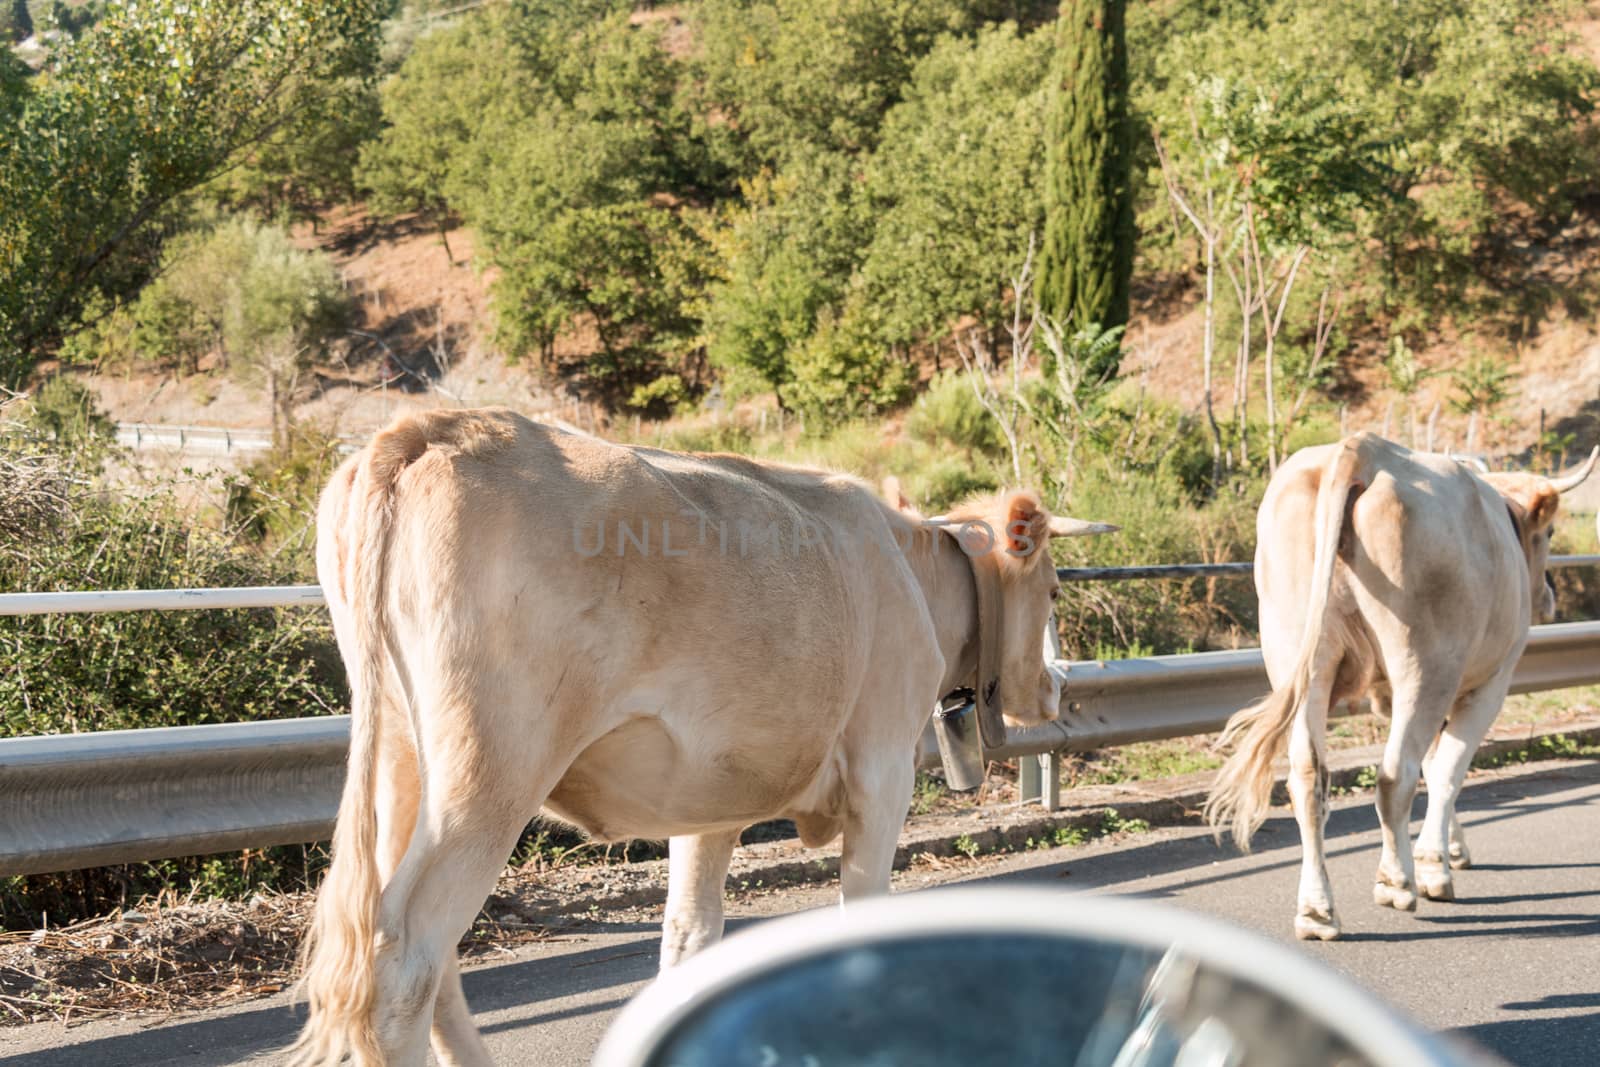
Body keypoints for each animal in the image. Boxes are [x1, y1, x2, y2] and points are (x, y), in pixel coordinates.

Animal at [288, 409, 1113, 1067]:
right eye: (1055, 589)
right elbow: (861, 910)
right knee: (405, 959)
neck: (915, 571)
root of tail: (432, 425)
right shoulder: (882, 770)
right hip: (489, 770)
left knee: (425, 955)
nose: (1059, 686)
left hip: (403, 760)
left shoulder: (710, 798)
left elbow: (689, 935)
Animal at [1203, 428, 1593, 940]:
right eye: (1548, 533)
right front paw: (1433, 865)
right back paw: (1396, 882)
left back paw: (1317, 910)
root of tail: (1361, 449)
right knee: (1394, 774)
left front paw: (1450, 850)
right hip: (1424, 665)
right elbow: (1447, 769)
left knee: (1309, 776)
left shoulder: (1390, 695)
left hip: (1298, 654)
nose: (1548, 595)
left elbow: (1434, 761)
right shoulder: (1489, 684)